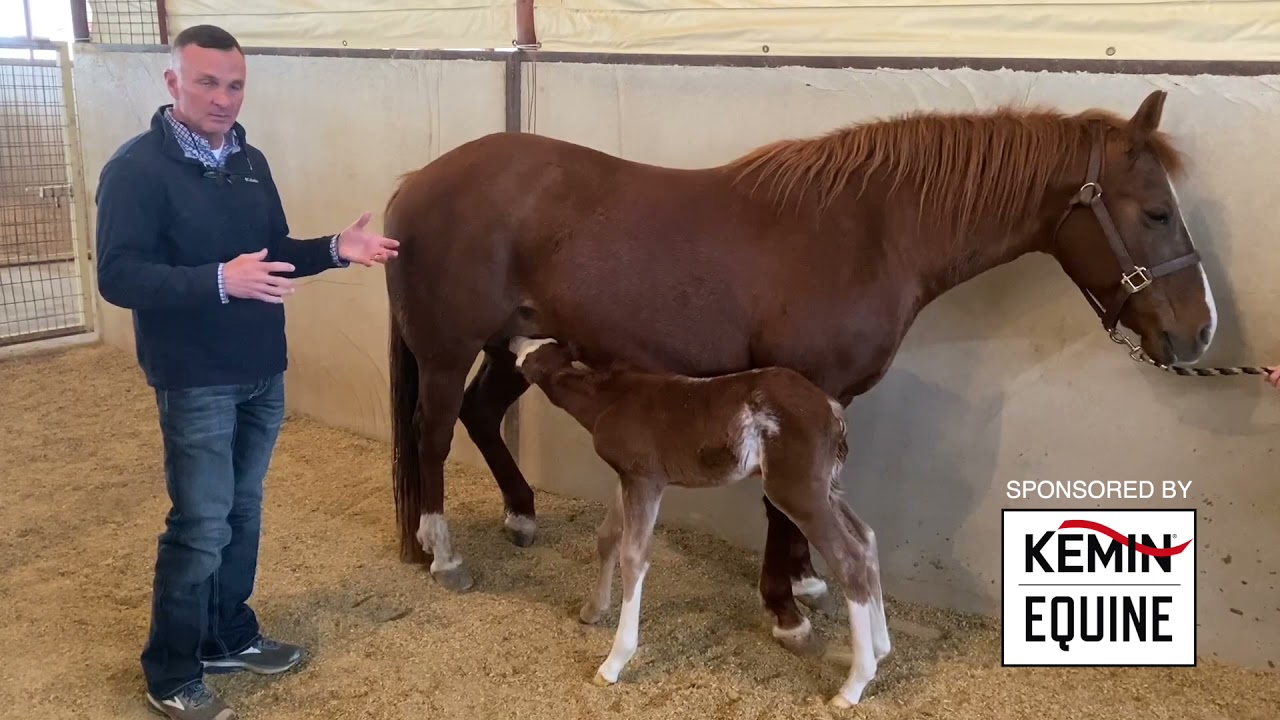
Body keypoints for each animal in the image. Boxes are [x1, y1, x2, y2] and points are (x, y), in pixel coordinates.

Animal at [382, 89, 1216, 656]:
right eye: (1156, 213)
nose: (1199, 332)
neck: (869, 231)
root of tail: (418, 179)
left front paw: (805, 580)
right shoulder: (795, 388)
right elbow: (781, 504)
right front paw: (786, 609)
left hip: (515, 346)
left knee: (480, 417)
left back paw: (520, 516)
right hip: (449, 349)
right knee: (432, 434)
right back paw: (443, 553)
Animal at [507, 335, 891, 707]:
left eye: (533, 354)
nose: (513, 341)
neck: (608, 400)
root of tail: (832, 410)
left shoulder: (646, 479)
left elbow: (634, 557)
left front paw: (614, 662)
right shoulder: (627, 477)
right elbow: (608, 536)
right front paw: (592, 610)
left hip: (797, 491)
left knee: (848, 558)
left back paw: (853, 686)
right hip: (825, 489)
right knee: (866, 538)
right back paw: (880, 648)